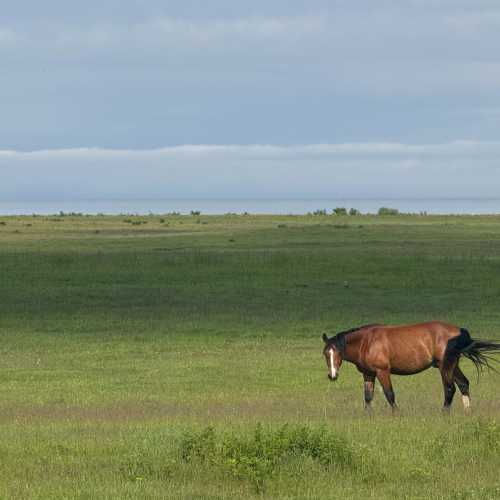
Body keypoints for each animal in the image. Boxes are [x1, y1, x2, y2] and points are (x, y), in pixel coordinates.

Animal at [322, 322, 498, 412]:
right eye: (325, 353)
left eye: (337, 352)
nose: (332, 375)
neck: (367, 341)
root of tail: (458, 331)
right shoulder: (368, 374)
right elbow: (368, 397)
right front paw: (368, 416)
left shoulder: (382, 371)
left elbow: (389, 394)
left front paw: (397, 415)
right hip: (453, 365)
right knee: (463, 384)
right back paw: (467, 412)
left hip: (445, 366)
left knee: (449, 388)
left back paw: (444, 413)